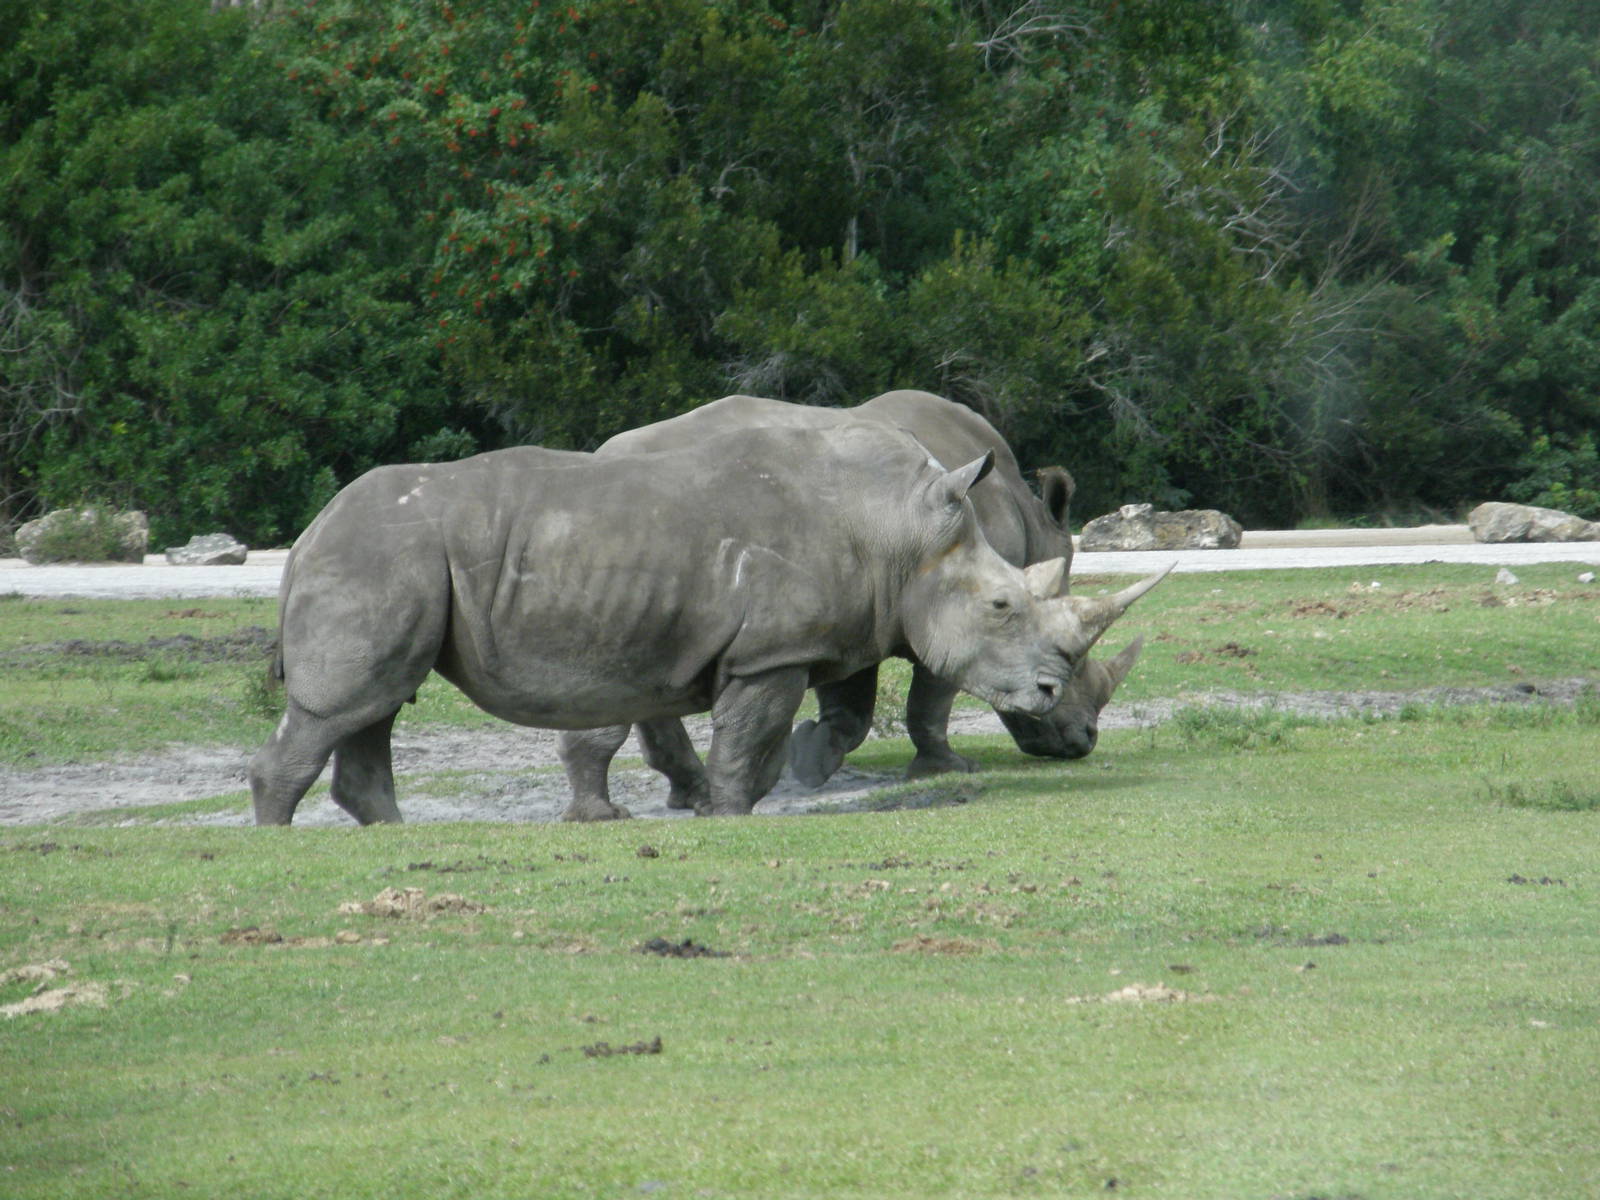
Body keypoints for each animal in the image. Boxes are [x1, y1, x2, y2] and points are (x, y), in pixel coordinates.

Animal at [249, 421, 1130, 824]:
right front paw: (730, 815)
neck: (901, 533)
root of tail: (307, 535)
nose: (1050, 695)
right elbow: (748, 744)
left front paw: (723, 806)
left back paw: (395, 835)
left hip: (391, 557)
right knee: (343, 708)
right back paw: (283, 835)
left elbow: (777, 741)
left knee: (373, 707)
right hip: (377, 555)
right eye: (1002, 606)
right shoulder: (771, 653)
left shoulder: (801, 644)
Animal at [591, 390, 1154, 791]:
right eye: (1076, 662)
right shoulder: (946, 607)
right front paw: (945, 769)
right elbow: (929, 696)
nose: (1083, 742)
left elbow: (852, 700)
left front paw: (809, 756)